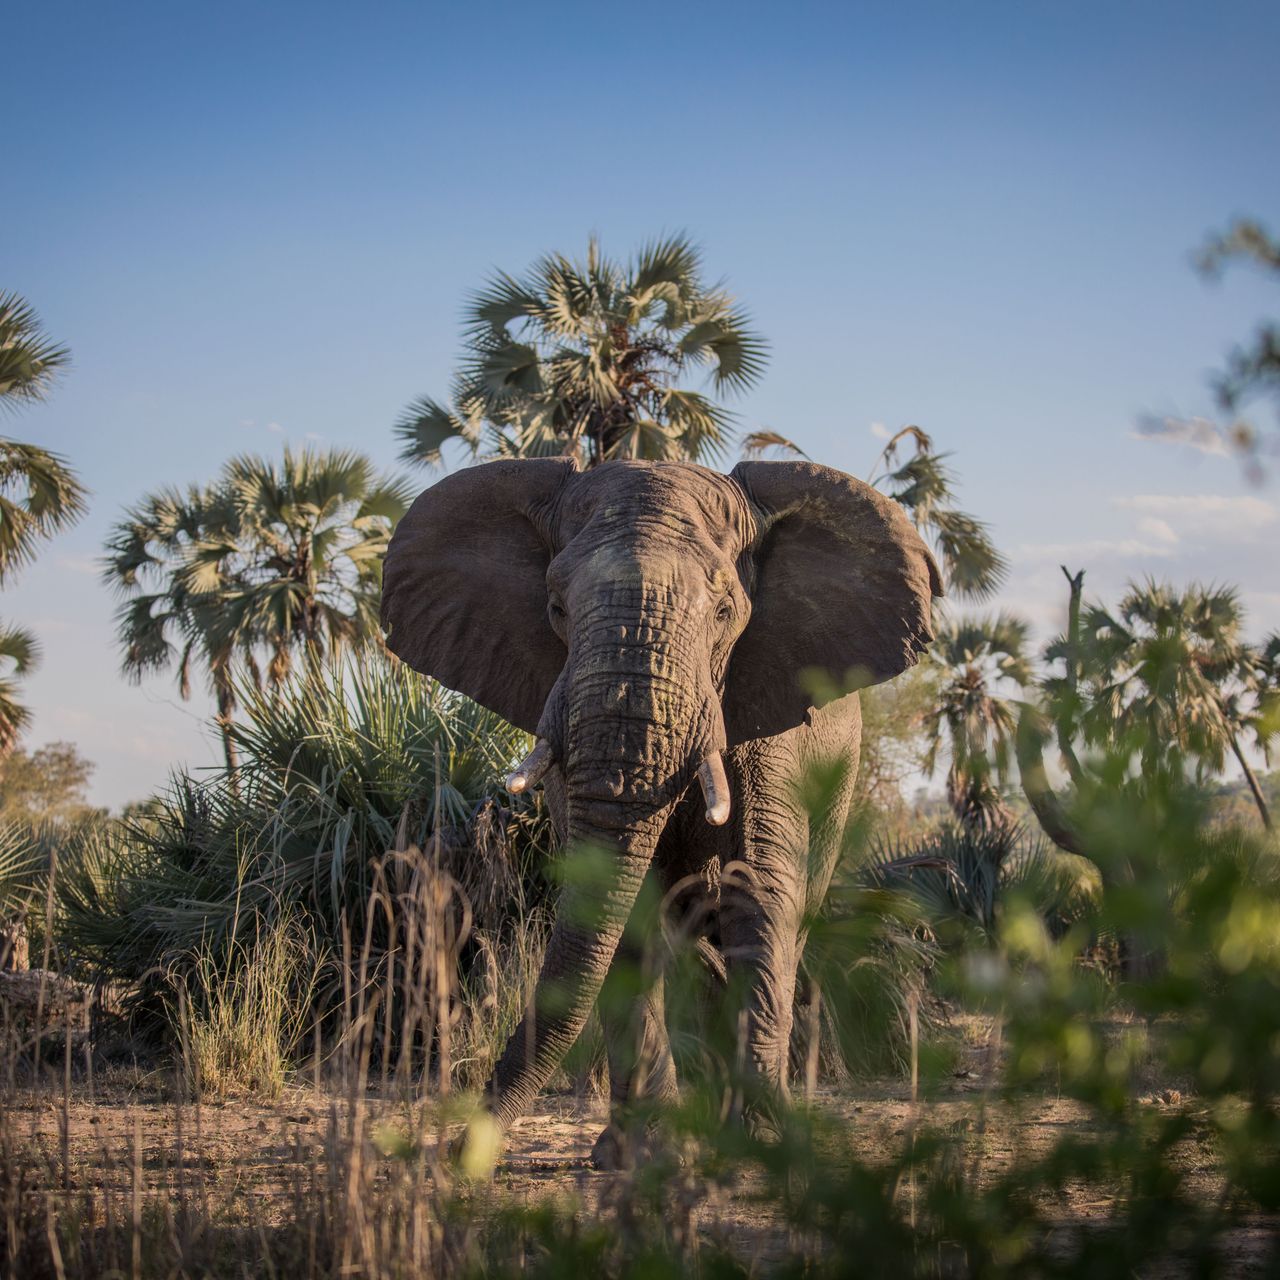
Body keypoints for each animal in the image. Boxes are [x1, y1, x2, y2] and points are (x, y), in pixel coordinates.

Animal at [381, 457, 941, 1165]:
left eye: (726, 610)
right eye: (556, 607)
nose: (457, 1150)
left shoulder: (771, 717)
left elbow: (758, 892)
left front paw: (759, 1143)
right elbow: (619, 910)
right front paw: (642, 1159)